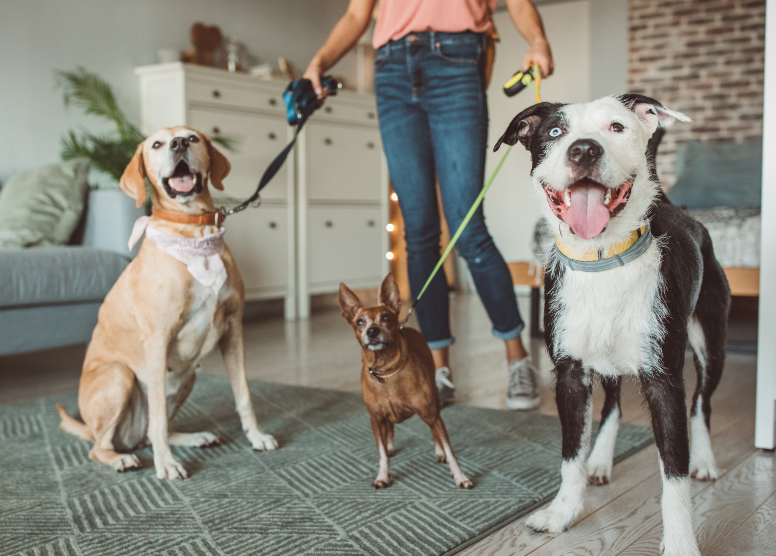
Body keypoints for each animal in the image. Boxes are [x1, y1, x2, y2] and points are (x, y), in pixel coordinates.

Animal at [56, 126, 278, 478]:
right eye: (157, 144)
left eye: (194, 138)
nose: (178, 143)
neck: (193, 230)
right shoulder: (158, 339)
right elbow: (158, 418)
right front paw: (167, 464)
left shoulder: (233, 330)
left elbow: (243, 394)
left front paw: (256, 436)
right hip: (120, 376)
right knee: (103, 445)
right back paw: (120, 458)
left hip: (189, 376)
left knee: (154, 430)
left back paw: (194, 437)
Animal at [338, 276, 472, 488]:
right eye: (359, 322)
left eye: (386, 318)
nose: (372, 331)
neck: (386, 371)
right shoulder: (376, 419)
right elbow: (381, 453)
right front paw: (382, 476)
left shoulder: (431, 414)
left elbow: (450, 450)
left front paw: (460, 476)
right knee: (390, 431)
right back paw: (390, 446)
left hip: (433, 406)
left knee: (435, 433)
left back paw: (439, 451)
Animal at [494, 93, 732, 552]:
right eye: (555, 131)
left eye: (617, 127)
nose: (584, 150)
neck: (601, 260)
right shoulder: (571, 374)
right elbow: (571, 453)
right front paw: (563, 512)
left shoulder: (664, 380)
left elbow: (674, 473)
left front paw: (680, 541)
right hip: (603, 359)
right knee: (613, 406)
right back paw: (601, 459)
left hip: (711, 342)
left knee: (702, 403)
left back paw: (705, 459)